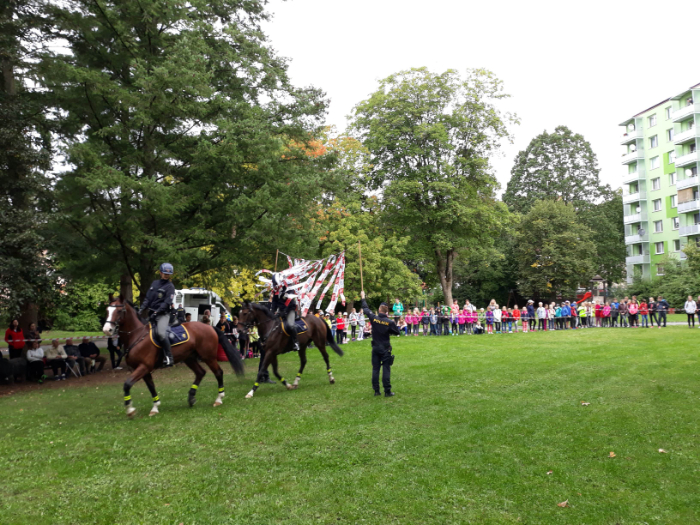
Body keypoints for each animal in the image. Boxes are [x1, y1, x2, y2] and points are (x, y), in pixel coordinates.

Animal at [102, 296, 244, 418]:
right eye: (107, 310)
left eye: (119, 311)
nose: (107, 330)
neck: (137, 336)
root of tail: (210, 327)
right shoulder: (144, 370)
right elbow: (151, 387)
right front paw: (155, 407)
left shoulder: (144, 367)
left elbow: (127, 384)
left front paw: (130, 410)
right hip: (189, 358)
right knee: (200, 372)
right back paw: (191, 397)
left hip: (208, 357)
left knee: (218, 372)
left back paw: (219, 399)